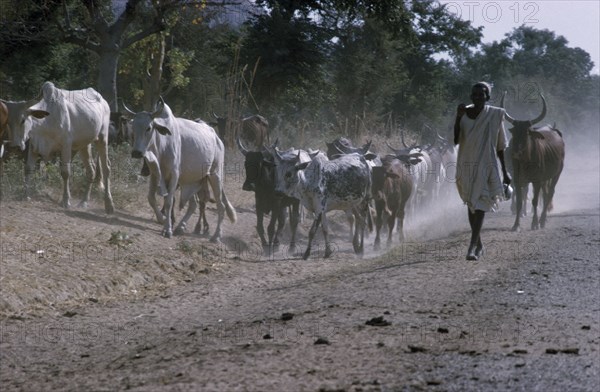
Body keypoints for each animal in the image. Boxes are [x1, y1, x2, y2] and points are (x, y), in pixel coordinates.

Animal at [5, 81, 114, 213]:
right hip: (84, 145)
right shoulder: (33, 146)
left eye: (23, 120)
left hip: (102, 138)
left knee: (106, 167)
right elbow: (28, 169)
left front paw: (66, 201)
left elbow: (65, 172)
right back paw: (84, 202)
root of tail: (102, 100)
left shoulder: (66, 145)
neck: (46, 121)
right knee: (91, 170)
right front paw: (26, 195)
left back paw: (109, 205)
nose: (15, 146)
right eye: (9, 122)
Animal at [125, 99, 236, 239]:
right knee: (194, 205)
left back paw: (216, 235)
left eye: (148, 128)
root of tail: (218, 139)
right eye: (133, 128)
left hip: (215, 175)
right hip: (192, 180)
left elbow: (169, 201)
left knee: (220, 205)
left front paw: (167, 229)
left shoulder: (174, 175)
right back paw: (181, 227)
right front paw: (162, 219)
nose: (136, 152)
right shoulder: (156, 175)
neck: (162, 145)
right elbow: (151, 198)